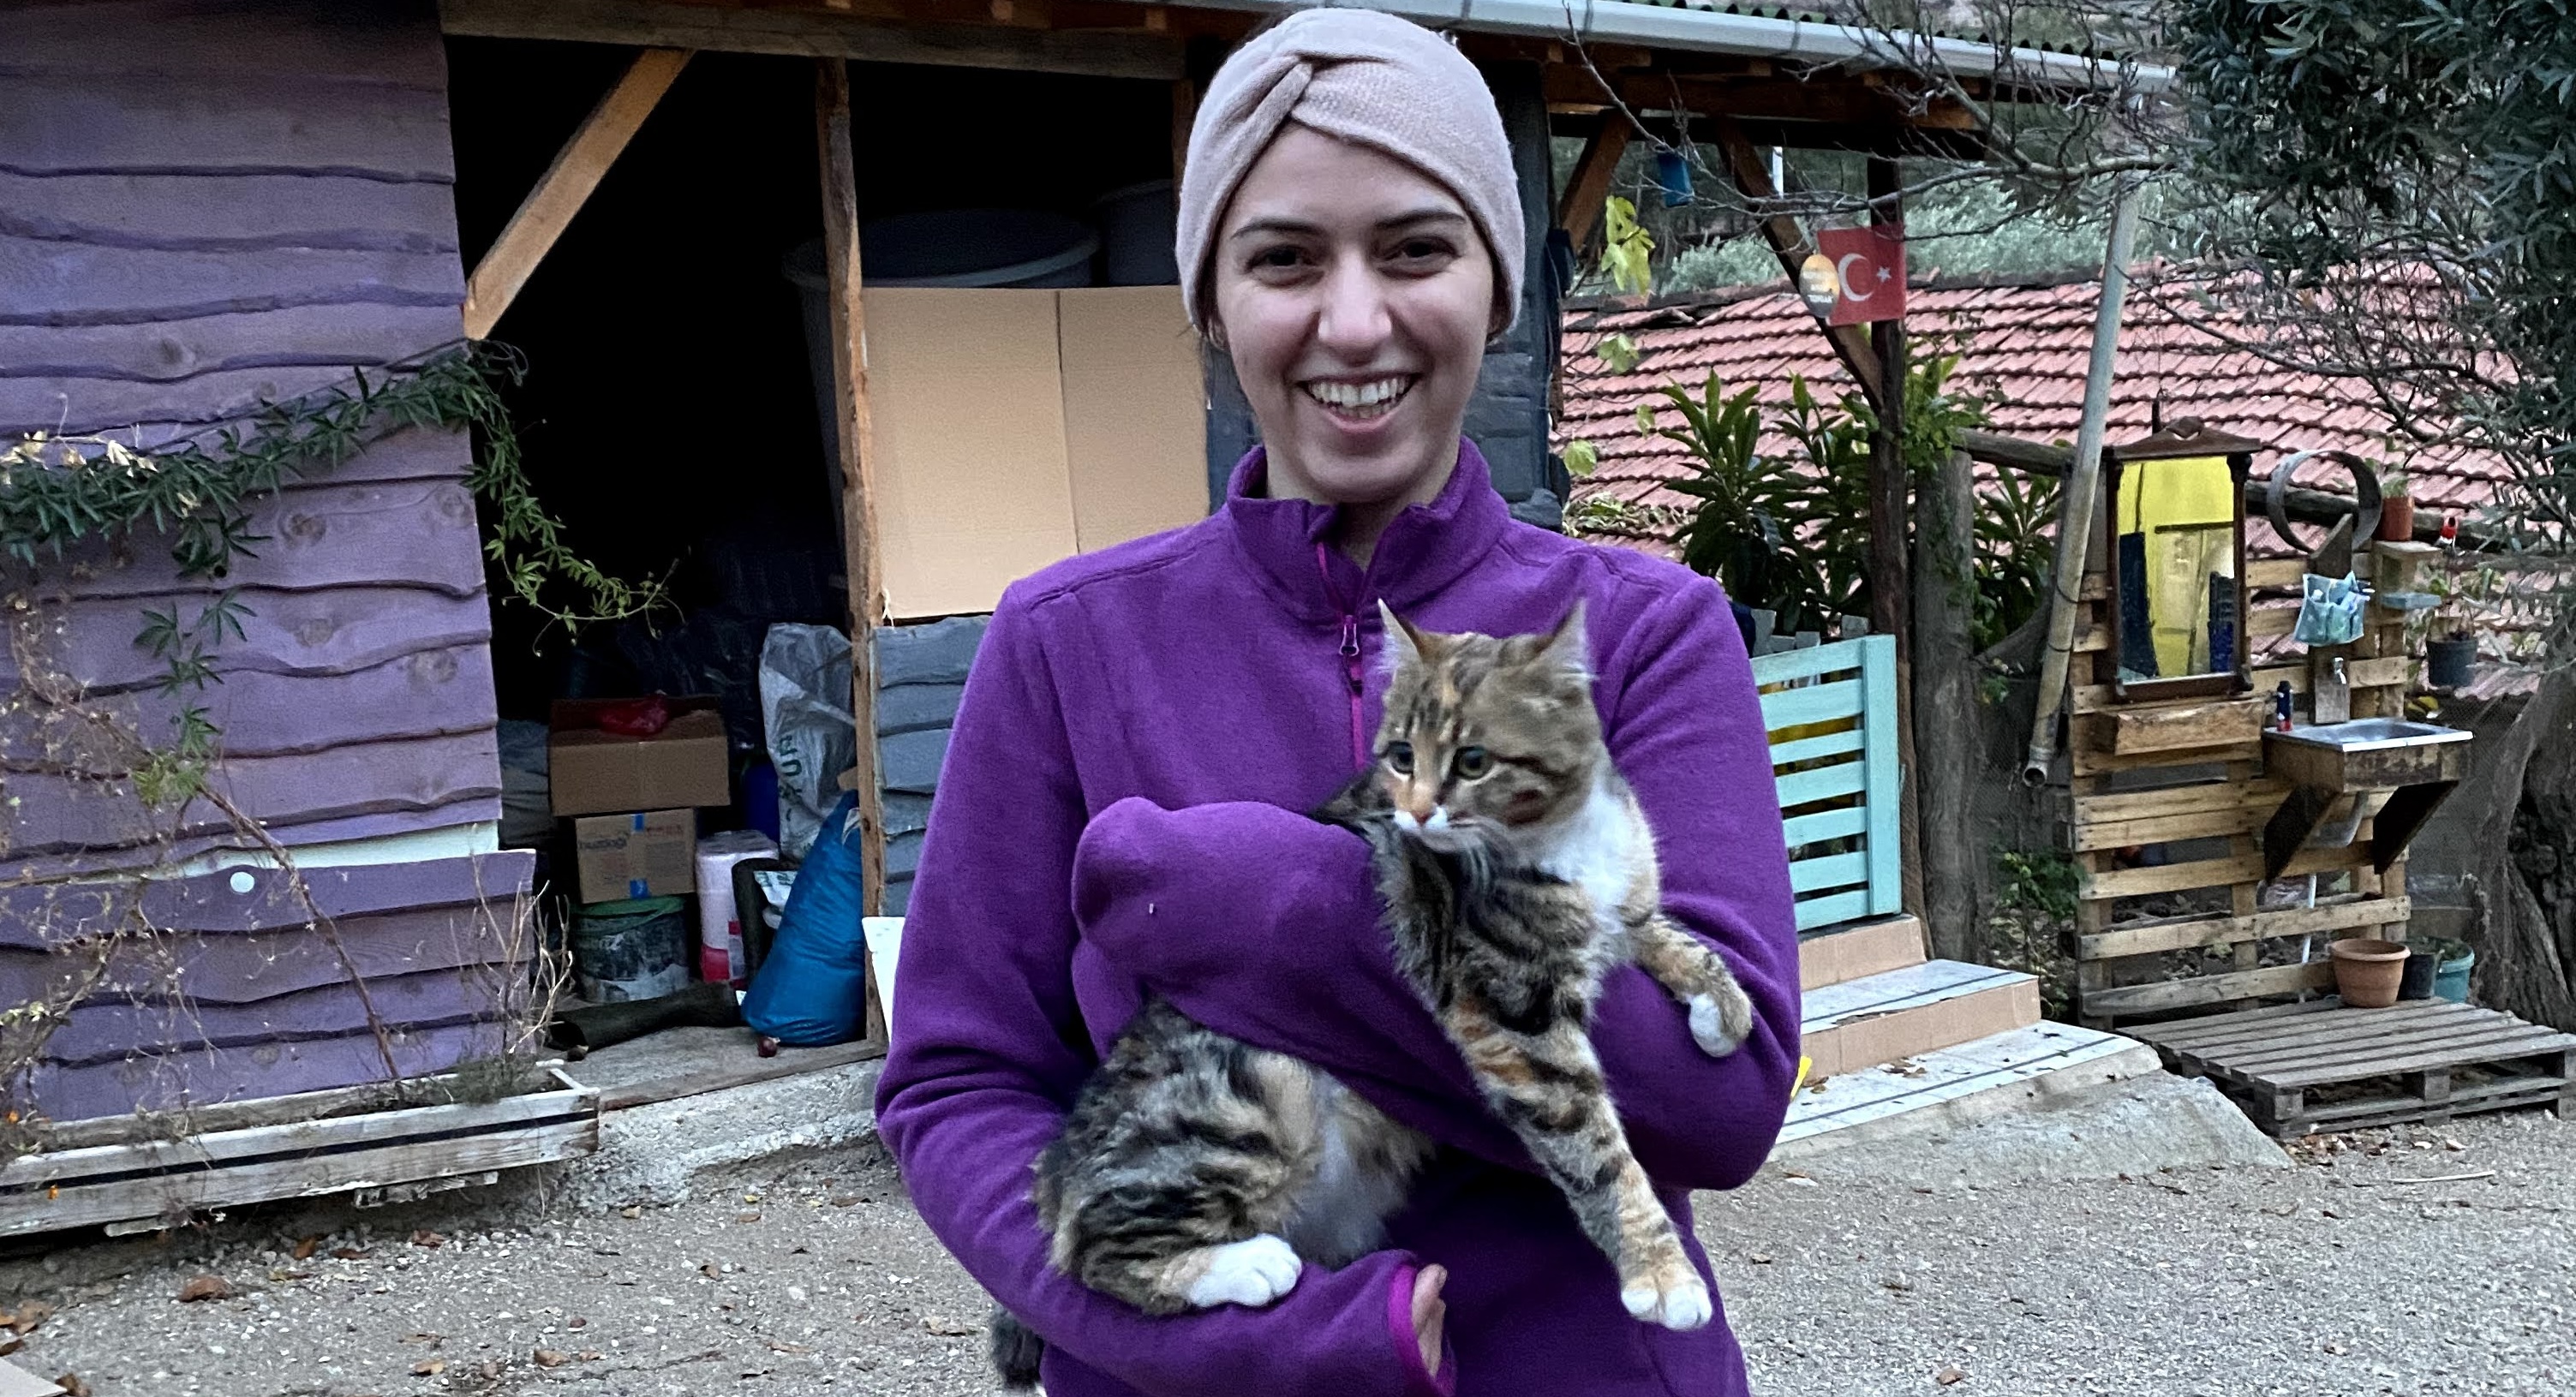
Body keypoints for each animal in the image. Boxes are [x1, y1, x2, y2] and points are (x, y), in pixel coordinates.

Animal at [983, 603, 1751, 1391]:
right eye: (1400, 756)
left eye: (1472, 761)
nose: (1414, 812)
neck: (1557, 834)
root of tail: (1058, 1166)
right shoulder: (1512, 1011)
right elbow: (1593, 1146)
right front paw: (1658, 1269)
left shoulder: (1614, 903)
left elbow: (1657, 926)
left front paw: (1720, 1001)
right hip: (1260, 1095)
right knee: (1085, 1247)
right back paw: (1241, 1263)